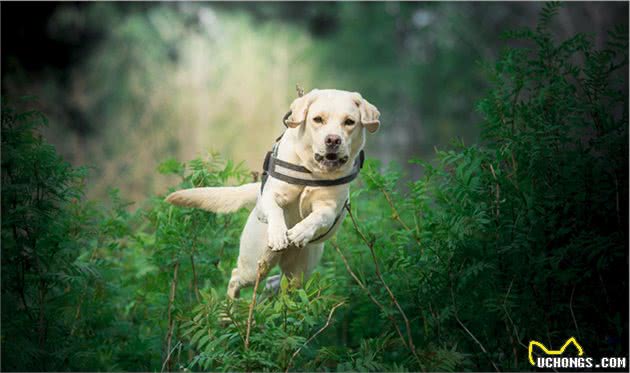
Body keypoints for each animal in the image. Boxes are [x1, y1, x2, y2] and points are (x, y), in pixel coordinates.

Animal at [165, 88, 380, 298]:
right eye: (318, 119)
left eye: (349, 122)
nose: (333, 140)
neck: (312, 171)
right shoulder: (271, 195)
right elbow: (275, 209)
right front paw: (278, 234)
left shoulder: (331, 208)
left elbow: (319, 216)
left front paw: (300, 231)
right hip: (255, 262)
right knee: (236, 277)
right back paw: (230, 306)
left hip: (299, 271)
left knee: (278, 282)